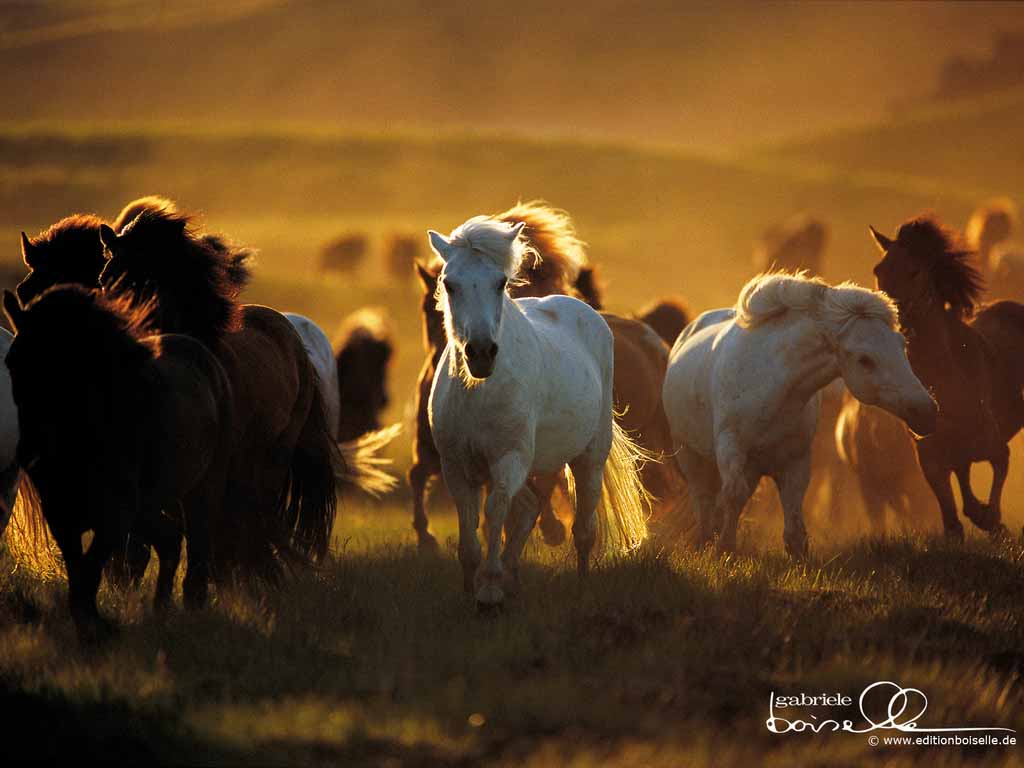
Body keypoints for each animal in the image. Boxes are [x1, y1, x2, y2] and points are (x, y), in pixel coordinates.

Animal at [3, 286, 233, 642]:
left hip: (199, 491)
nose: (30, 452)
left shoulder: (114, 516)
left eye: (63, 364)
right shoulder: (62, 516)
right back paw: (160, 608)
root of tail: (205, 357)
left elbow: (90, 572)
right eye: (12, 362)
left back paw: (192, 606)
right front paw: (91, 627)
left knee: (195, 543)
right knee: (170, 539)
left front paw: (96, 630)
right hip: (147, 507)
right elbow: (78, 574)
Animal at [427, 215, 649, 606]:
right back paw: (513, 579)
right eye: (449, 284)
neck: (478, 394)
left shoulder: (508, 460)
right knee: (530, 508)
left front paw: (489, 590)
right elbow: (470, 530)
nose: (481, 353)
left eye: (500, 283)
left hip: (588, 460)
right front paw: (473, 588)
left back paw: (580, 585)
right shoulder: (456, 466)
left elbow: (496, 511)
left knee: (583, 529)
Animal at [870, 216, 1024, 538]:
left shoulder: (995, 446)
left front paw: (994, 521)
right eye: (878, 270)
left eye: (914, 270)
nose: (889, 317)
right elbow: (953, 521)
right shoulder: (931, 460)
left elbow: (999, 469)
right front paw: (981, 518)